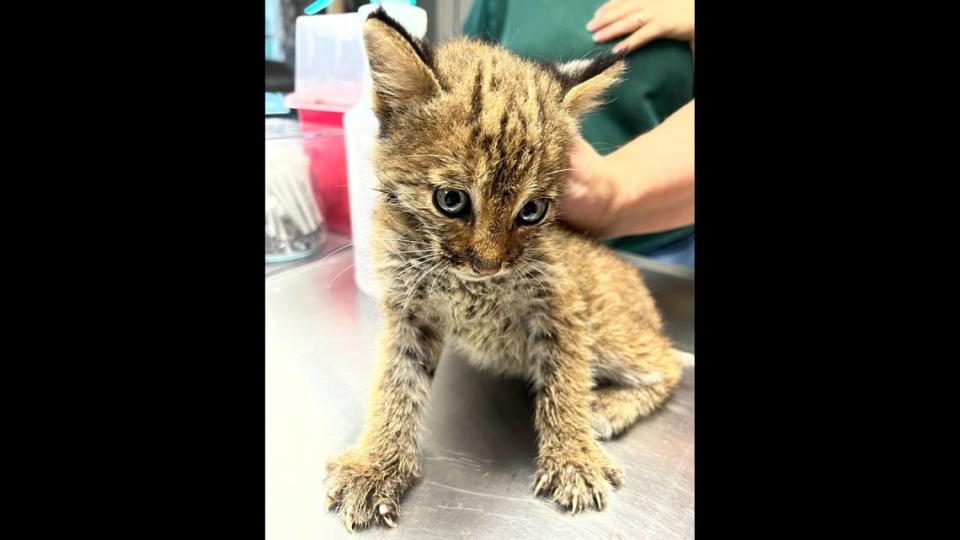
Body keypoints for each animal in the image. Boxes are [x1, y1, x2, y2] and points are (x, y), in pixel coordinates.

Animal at [324, 9, 684, 532]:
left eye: (532, 211)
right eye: (451, 200)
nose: (487, 265)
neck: (466, 284)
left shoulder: (562, 304)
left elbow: (564, 379)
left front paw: (573, 457)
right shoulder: (410, 309)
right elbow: (395, 382)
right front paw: (376, 463)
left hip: (610, 332)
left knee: (669, 359)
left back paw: (607, 406)